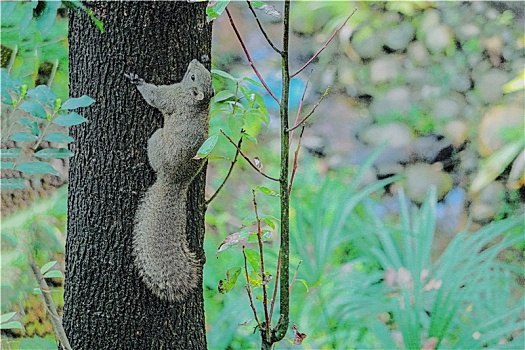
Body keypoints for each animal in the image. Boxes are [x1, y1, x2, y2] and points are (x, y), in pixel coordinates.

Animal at [125, 59, 213, 300]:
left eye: (192, 77)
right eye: (203, 72)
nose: (194, 60)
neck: (198, 103)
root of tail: (175, 181)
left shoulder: (172, 96)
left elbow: (156, 97)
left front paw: (138, 81)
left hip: (156, 141)